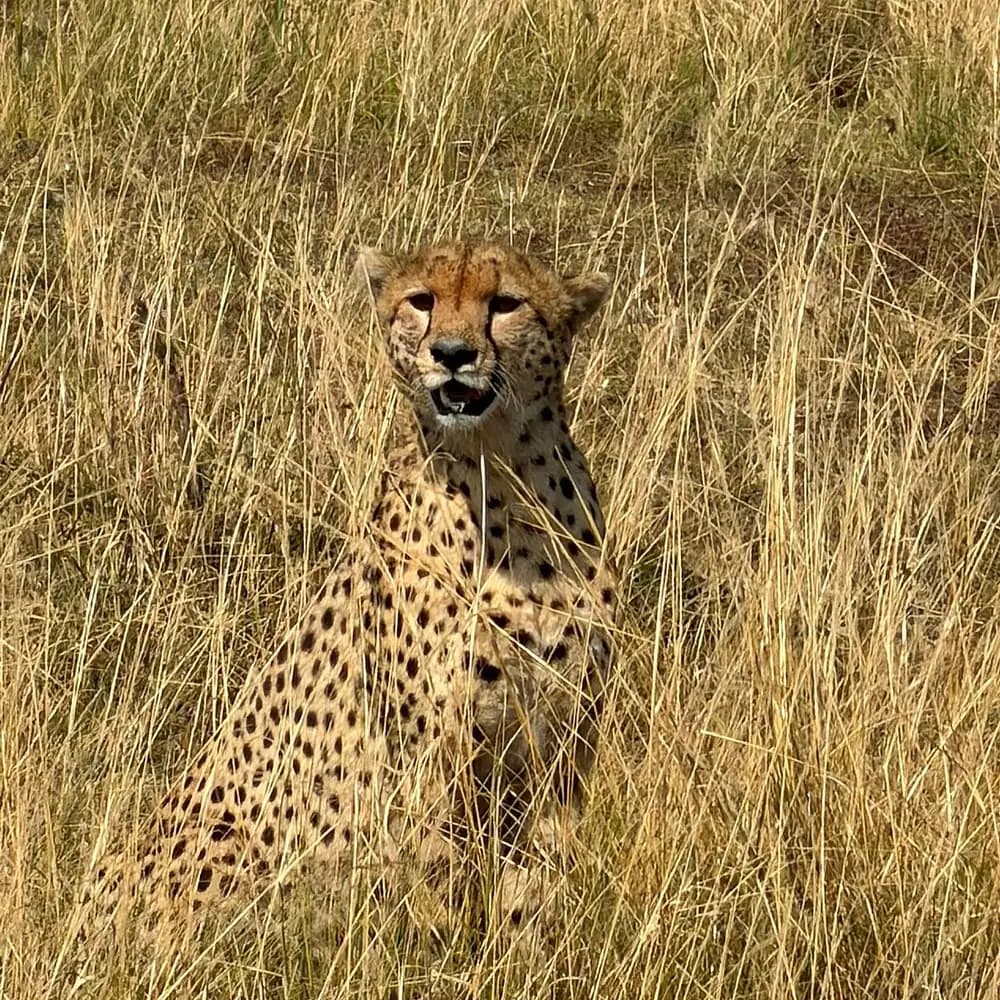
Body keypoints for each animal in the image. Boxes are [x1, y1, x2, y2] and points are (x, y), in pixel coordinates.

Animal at [73, 239, 619, 959]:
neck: (503, 472)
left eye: (505, 303)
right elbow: (442, 873)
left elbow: (541, 879)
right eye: (422, 300)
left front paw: (531, 957)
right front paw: (444, 959)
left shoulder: (562, 738)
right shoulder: (430, 751)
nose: (452, 353)